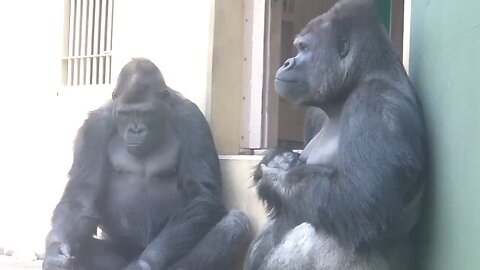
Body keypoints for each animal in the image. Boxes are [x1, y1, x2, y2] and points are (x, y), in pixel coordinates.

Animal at [43, 58, 251, 268]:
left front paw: (143, 264)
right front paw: (54, 253)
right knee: (83, 245)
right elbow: (80, 201)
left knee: (234, 223)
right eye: (126, 114)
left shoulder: (191, 119)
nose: (136, 130)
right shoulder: (94, 127)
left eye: (145, 113)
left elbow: (201, 196)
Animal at [246, 0, 426, 270]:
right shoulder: (315, 113)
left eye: (304, 48)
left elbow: (359, 199)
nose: (287, 62)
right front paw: (275, 161)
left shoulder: (377, 104)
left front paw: (276, 178)